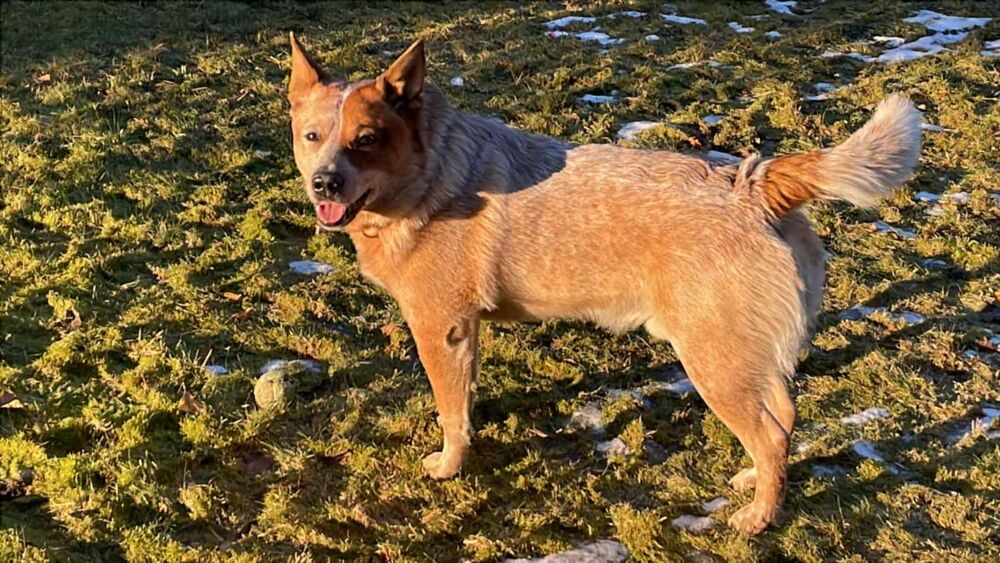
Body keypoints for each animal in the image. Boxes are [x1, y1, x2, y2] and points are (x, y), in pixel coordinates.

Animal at [286, 35, 921, 533]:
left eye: (367, 138)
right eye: (313, 136)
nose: (325, 184)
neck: (429, 175)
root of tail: (753, 182)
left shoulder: (439, 328)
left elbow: (450, 413)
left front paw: (448, 466)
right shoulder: (466, 331)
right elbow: (464, 402)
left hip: (712, 361)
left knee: (771, 434)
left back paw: (758, 518)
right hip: (743, 356)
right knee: (784, 416)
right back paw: (752, 479)